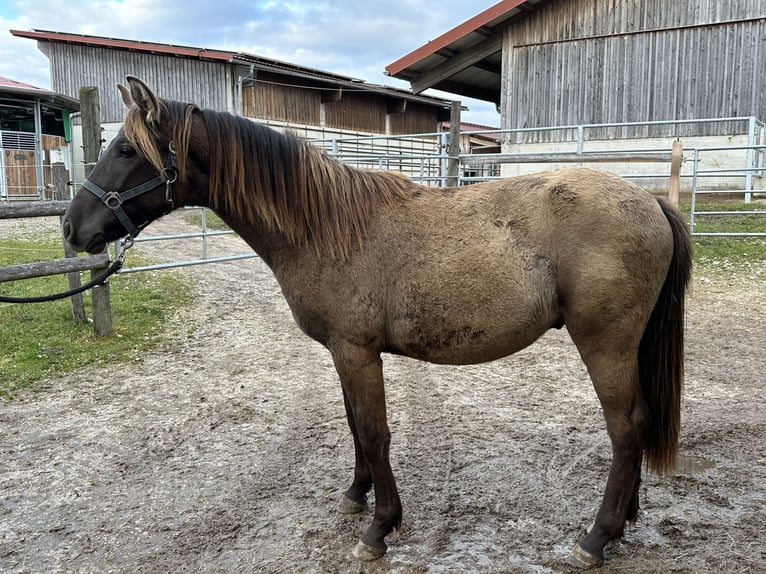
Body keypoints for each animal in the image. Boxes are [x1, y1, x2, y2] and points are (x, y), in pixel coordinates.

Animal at [61, 76, 692, 568]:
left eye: (125, 150)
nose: (72, 228)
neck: (325, 227)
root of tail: (652, 202)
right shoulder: (343, 353)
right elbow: (352, 425)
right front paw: (356, 494)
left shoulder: (357, 351)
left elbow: (373, 431)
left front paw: (379, 528)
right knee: (637, 425)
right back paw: (626, 519)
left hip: (606, 343)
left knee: (626, 427)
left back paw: (597, 537)